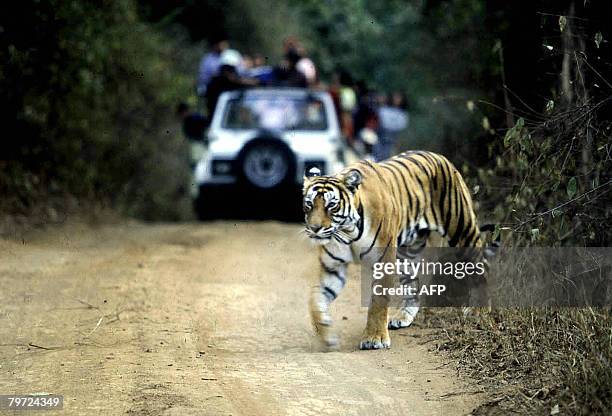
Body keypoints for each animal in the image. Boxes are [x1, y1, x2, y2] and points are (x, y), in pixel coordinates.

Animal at [302, 151, 498, 350]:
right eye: (309, 204)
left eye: (331, 205)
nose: (314, 228)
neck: (347, 231)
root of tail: (440, 157)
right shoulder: (333, 268)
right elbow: (315, 299)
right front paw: (327, 336)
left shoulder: (383, 261)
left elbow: (378, 301)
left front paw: (374, 338)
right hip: (406, 255)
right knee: (413, 285)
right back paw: (403, 317)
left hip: (462, 230)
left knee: (482, 266)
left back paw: (479, 310)